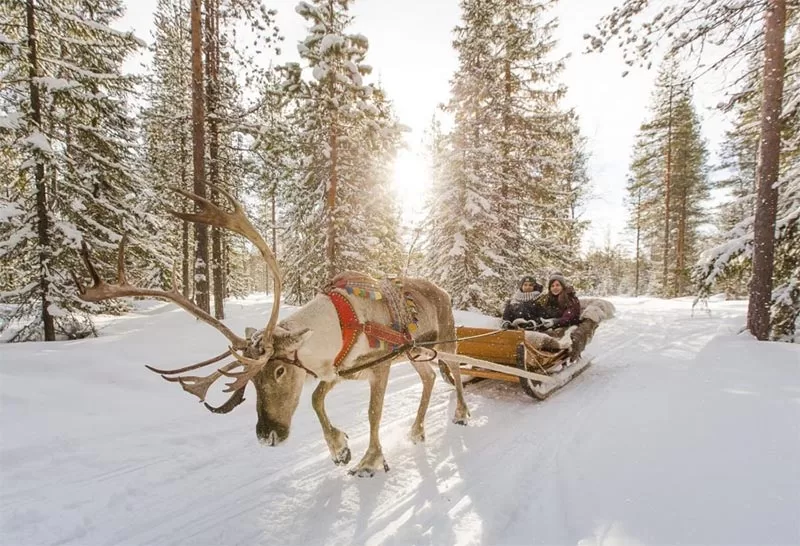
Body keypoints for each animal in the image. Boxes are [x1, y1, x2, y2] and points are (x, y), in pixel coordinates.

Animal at [75, 186, 470, 477]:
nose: (268, 437)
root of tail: (444, 289)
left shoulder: (379, 366)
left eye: (278, 370)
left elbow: (373, 414)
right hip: (417, 353)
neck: (341, 325)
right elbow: (315, 399)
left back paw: (462, 413)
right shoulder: (338, 369)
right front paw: (339, 447)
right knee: (430, 377)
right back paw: (417, 430)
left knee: (456, 373)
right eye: (249, 380)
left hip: (448, 338)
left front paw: (370, 461)